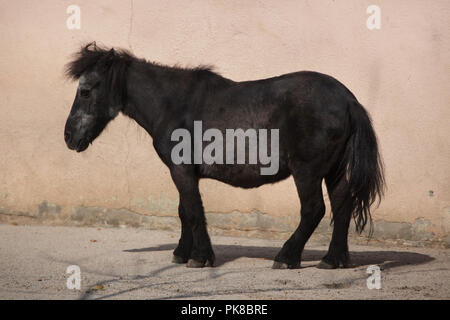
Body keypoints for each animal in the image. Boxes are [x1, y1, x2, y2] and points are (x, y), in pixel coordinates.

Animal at [65, 42, 384, 268]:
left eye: (85, 91)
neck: (174, 104)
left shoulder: (181, 170)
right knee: (342, 205)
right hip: (333, 170)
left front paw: (200, 257)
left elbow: (194, 211)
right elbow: (184, 210)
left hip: (307, 171)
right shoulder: (184, 172)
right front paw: (182, 252)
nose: (69, 137)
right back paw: (333, 259)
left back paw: (286, 257)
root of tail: (348, 99)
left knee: (313, 209)